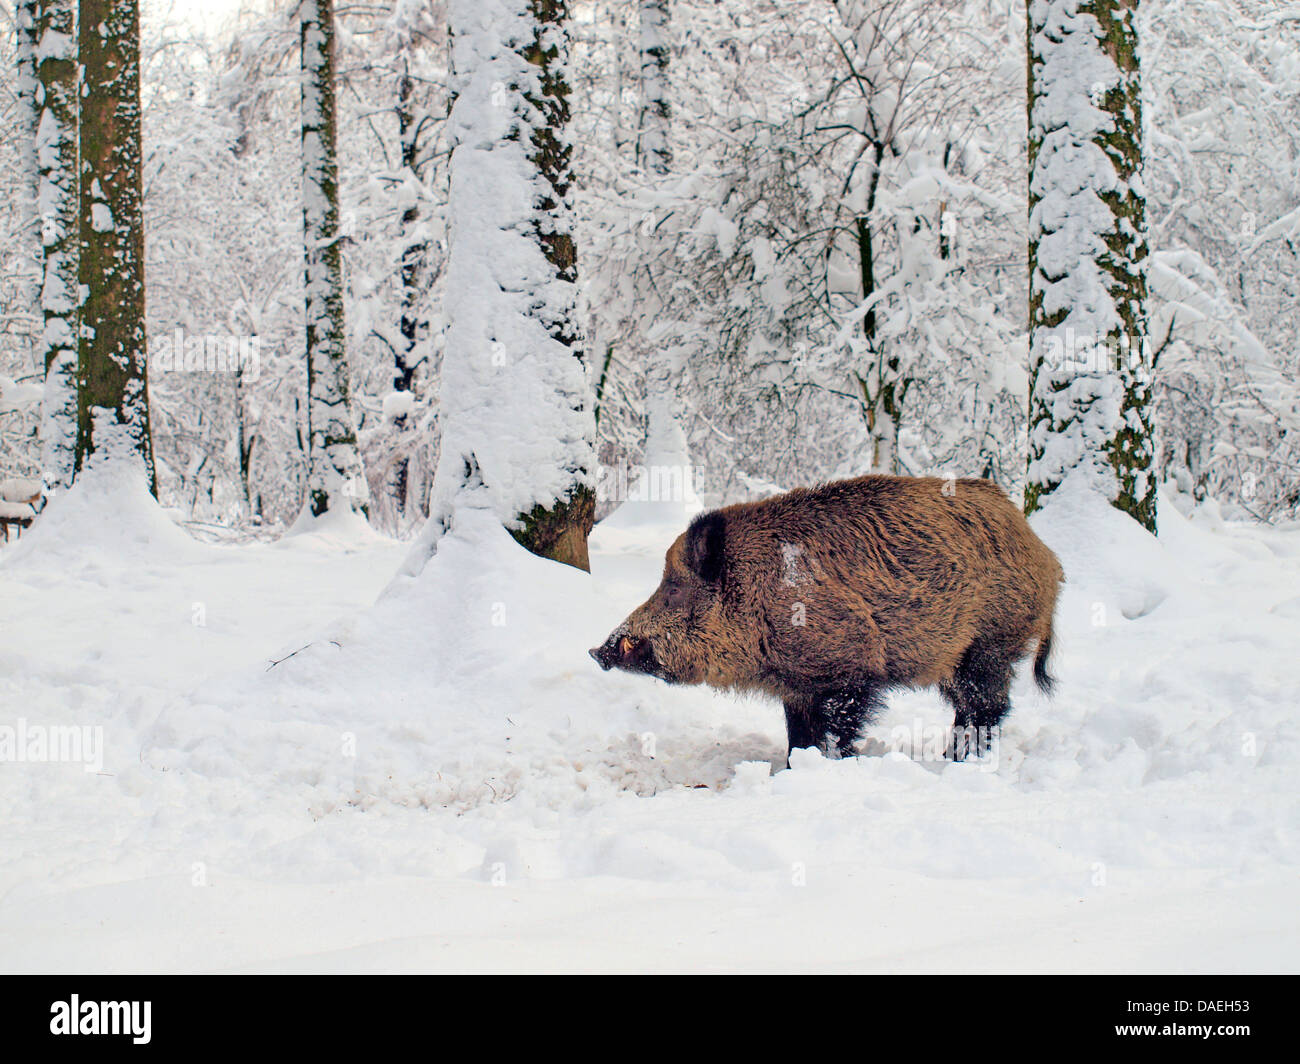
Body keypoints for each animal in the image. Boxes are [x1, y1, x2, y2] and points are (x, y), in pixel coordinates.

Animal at [590, 474, 1063, 764]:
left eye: (672, 588)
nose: (597, 650)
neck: (756, 595)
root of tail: (1046, 556)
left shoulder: (845, 669)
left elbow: (833, 729)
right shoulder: (797, 686)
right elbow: (798, 735)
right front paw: (795, 767)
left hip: (991, 643)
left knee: (987, 705)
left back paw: (961, 761)